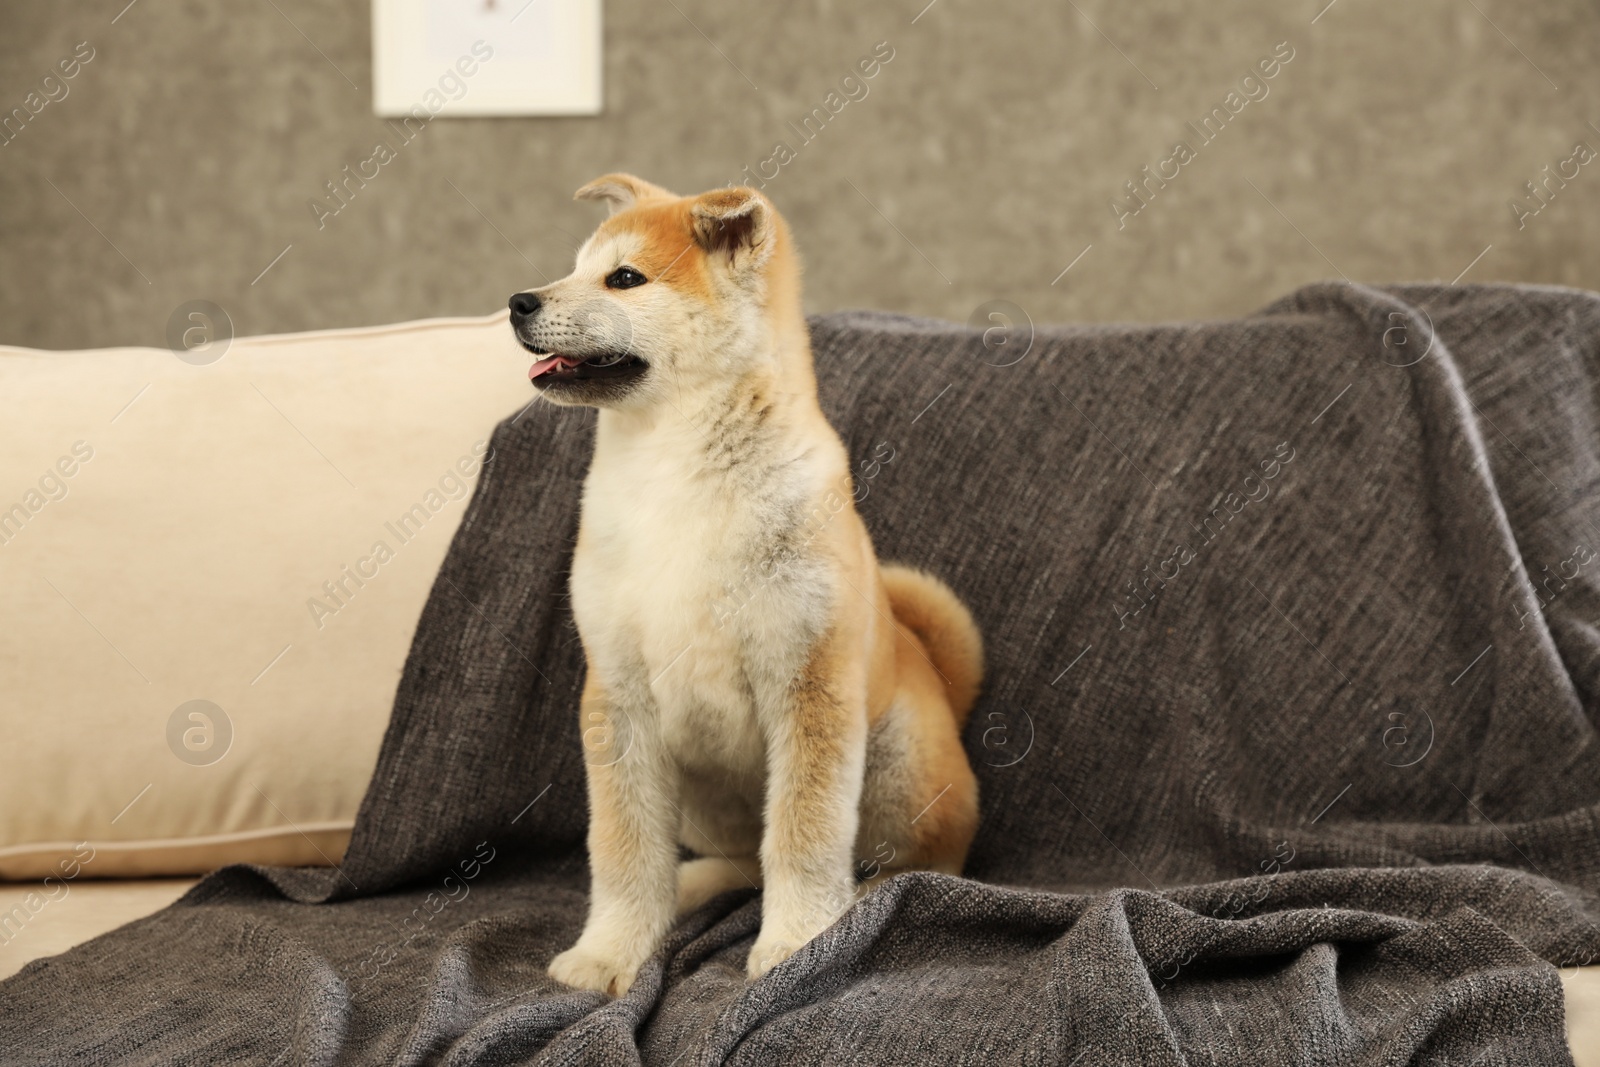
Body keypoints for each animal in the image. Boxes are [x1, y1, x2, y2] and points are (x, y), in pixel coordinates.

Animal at [512, 171, 979, 998]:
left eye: (624, 278)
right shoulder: (617, 694)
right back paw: (694, 885)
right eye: (573, 267)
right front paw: (611, 950)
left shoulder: (808, 681)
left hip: (899, 764)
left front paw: (800, 941)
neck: (672, 469)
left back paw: (869, 895)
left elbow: (802, 833)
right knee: (736, 858)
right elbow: (623, 849)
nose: (519, 302)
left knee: (920, 862)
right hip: (700, 791)